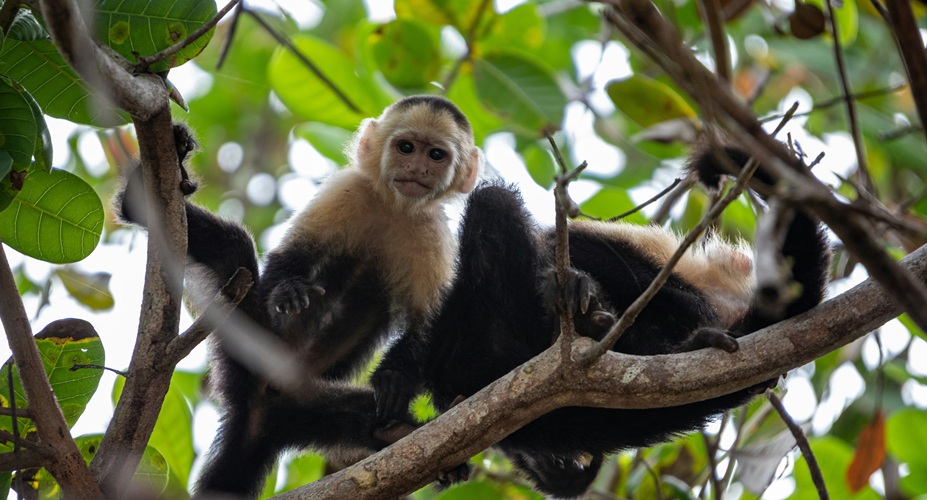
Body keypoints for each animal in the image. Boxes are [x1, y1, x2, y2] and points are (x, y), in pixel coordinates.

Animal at [115, 95, 482, 498]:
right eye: (406, 147)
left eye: (436, 155)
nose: (417, 168)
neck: (394, 208)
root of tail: (261, 408)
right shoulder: (346, 191)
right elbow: (292, 257)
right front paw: (290, 289)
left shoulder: (434, 235)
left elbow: (426, 324)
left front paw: (395, 377)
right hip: (246, 346)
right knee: (233, 251)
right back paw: (141, 193)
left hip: (305, 406)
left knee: (357, 415)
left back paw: (397, 433)